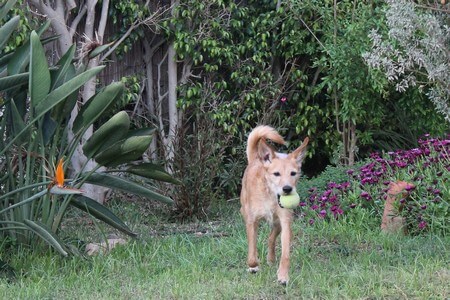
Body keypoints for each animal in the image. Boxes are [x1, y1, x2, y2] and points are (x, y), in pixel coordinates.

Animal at [239, 125, 310, 284]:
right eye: (276, 174)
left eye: (293, 173)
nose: (287, 189)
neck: (270, 195)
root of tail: (256, 159)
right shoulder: (252, 221)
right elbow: (252, 252)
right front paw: (253, 266)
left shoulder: (285, 221)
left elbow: (285, 254)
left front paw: (283, 276)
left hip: (278, 223)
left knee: (271, 238)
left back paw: (271, 259)